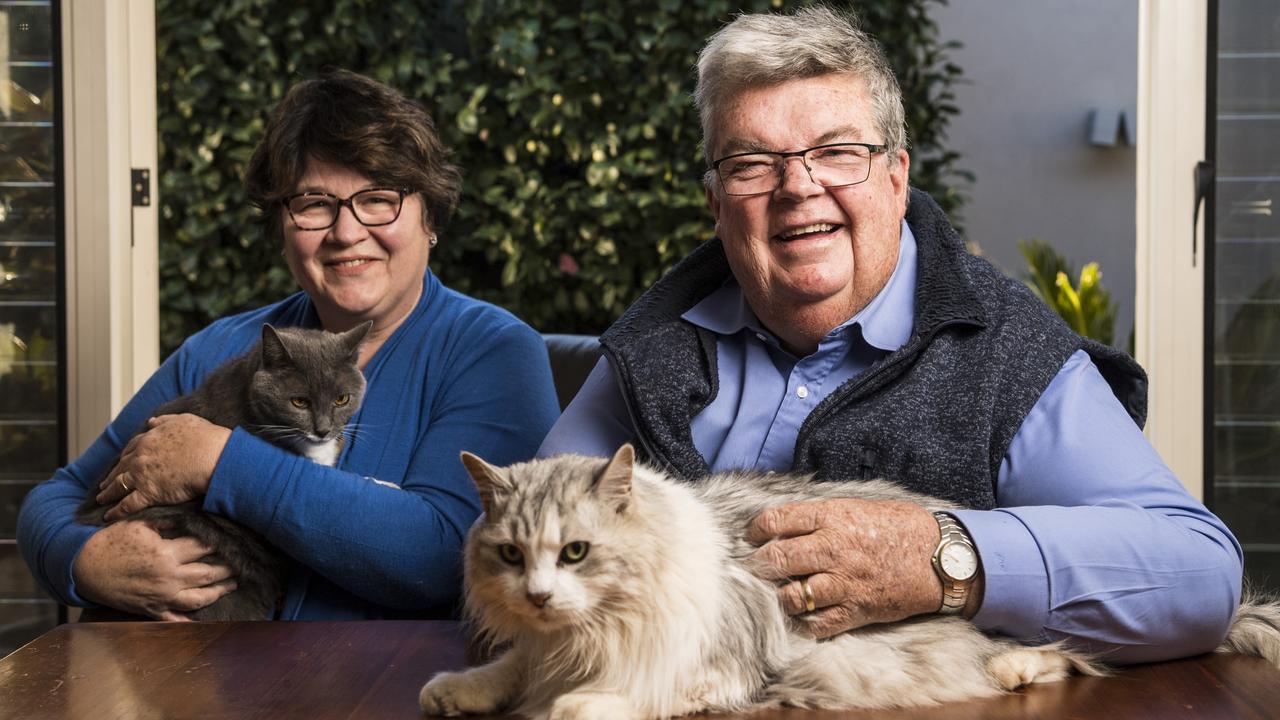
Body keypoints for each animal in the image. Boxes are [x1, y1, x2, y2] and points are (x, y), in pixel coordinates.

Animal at [422, 443, 1280, 717]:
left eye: (575, 553)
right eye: (511, 556)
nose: (538, 596)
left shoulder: (725, 664)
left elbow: (631, 692)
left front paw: (573, 703)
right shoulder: (538, 648)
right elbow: (510, 667)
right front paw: (460, 689)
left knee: (1065, 653)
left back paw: (1013, 670)